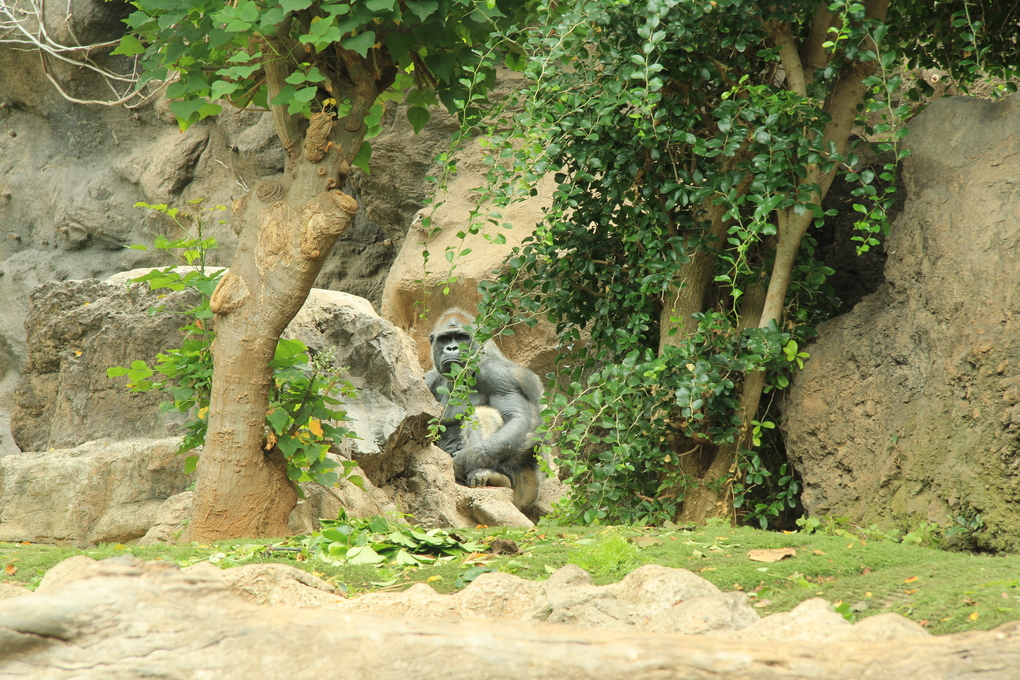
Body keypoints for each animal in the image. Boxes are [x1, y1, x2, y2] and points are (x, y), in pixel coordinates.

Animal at [424, 308, 543, 510]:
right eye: (445, 339)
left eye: (462, 337)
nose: (452, 348)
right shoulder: (427, 381)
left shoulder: (496, 373)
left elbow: (518, 418)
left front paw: (461, 461)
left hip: (528, 490)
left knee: (482, 415)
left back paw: (489, 475)